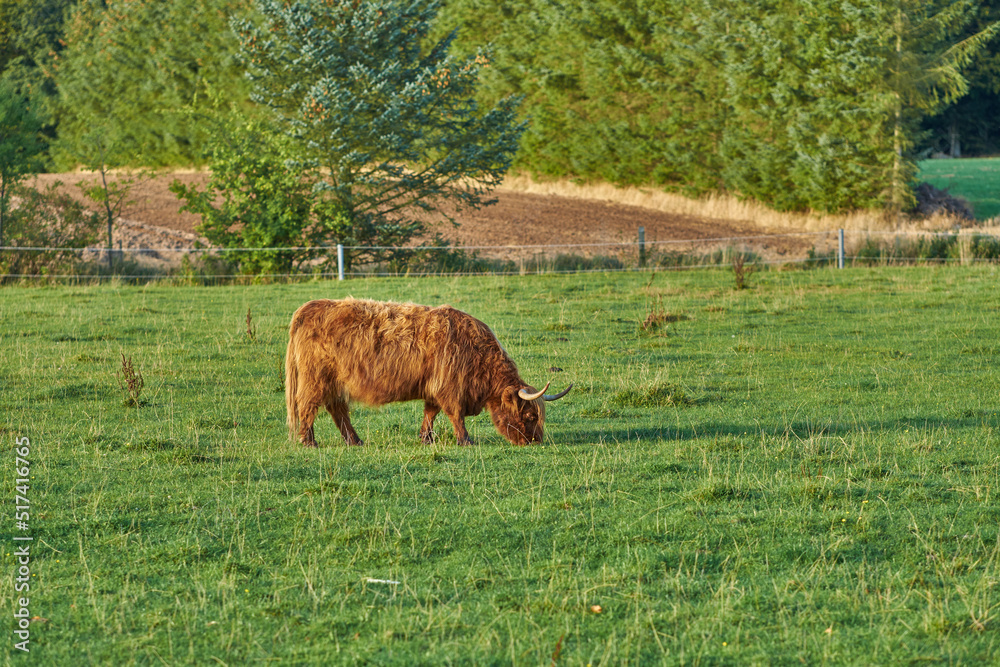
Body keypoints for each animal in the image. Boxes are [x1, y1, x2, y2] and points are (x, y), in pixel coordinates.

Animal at [286, 298, 576, 448]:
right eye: (529, 415)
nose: (535, 441)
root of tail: (310, 307)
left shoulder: (434, 387)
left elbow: (431, 412)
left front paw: (426, 438)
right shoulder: (449, 388)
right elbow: (455, 415)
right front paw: (465, 441)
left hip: (334, 383)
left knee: (338, 411)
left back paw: (354, 441)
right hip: (315, 380)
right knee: (308, 407)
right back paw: (309, 441)